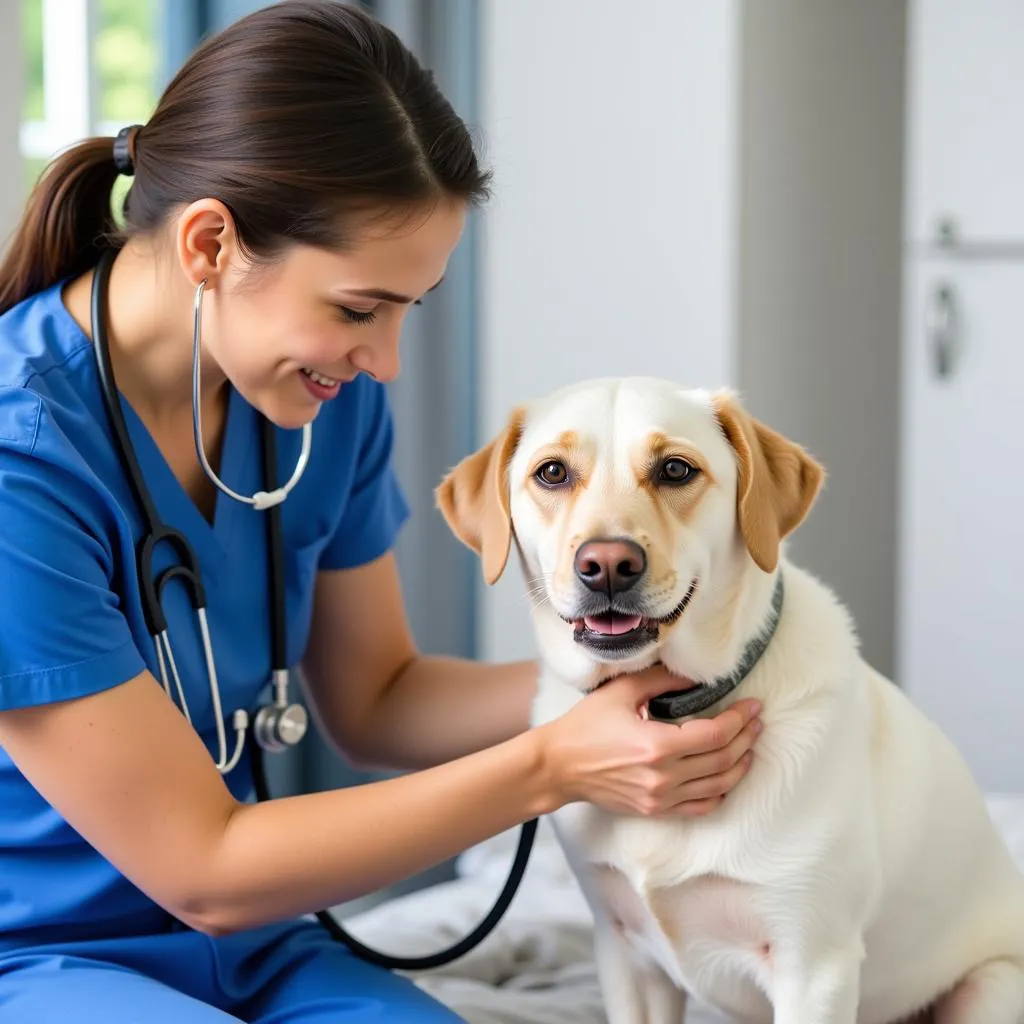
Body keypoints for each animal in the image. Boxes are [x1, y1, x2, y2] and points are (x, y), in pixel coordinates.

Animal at [436, 378, 1024, 1024]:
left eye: (675, 469)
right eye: (552, 473)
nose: (607, 565)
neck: (674, 703)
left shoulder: (812, 966)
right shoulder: (622, 949)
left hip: (990, 986)